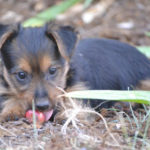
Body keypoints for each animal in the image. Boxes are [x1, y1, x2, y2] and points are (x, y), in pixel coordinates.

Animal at [0, 23, 150, 122]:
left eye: (52, 70)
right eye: (21, 75)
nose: (42, 106)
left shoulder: (82, 91)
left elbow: (74, 102)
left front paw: (69, 113)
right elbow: (12, 97)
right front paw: (10, 110)